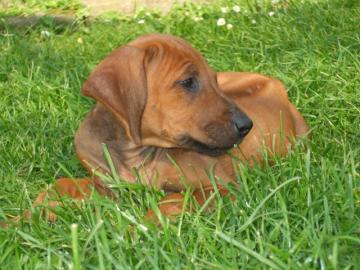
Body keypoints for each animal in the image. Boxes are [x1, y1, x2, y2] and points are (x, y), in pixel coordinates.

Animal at [14, 33, 308, 224]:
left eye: (210, 80)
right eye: (188, 82)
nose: (247, 125)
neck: (136, 154)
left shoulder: (223, 187)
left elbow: (173, 199)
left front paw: (138, 228)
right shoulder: (106, 182)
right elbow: (61, 184)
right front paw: (23, 219)